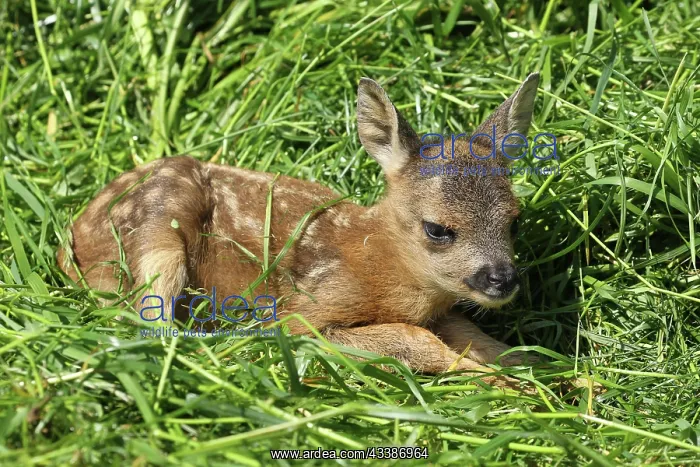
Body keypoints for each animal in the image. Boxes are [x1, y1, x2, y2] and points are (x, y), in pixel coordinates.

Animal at [58, 73, 541, 391]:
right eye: (437, 229)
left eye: (515, 220)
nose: (502, 279)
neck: (379, 262)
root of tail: (72, 237)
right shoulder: (307, 310)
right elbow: (411, 340)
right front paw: (509, 385)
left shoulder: (443, 309)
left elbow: (475, 335)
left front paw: (534, 368)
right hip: (157, 236)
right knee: (146, 324)